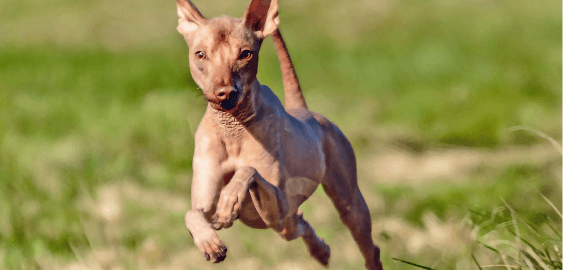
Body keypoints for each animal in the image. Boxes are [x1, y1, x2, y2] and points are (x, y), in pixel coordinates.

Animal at [178, 0, 386, 268]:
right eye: (200, 54)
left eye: (245, 53)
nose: (224, 93)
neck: (233, 128)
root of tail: (303, 110)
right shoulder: (205, 200)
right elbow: (192, 213)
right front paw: (209, 242)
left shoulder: (278, 205)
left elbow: (248, 171)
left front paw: (229, 201)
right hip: (284, 224)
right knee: (300, 222)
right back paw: (320, 251)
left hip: (346, 204)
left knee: (369, 248)